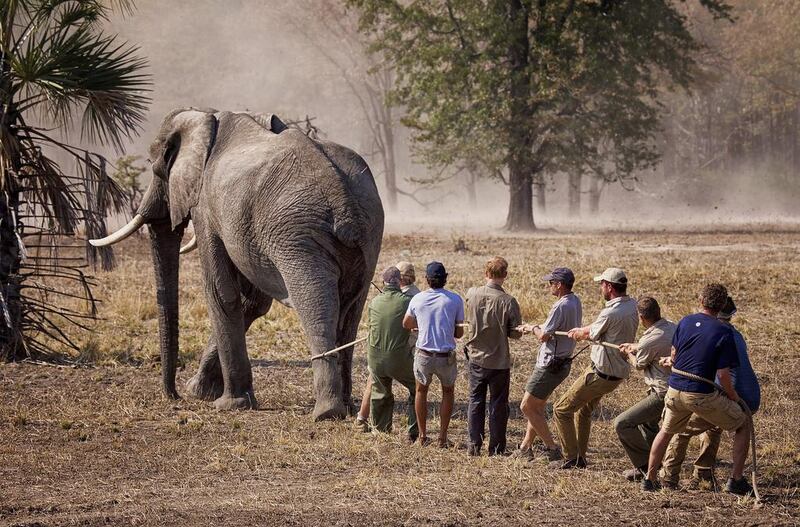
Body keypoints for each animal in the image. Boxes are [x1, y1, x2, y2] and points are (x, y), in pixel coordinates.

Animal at [90, 108, 384, 420]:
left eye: (156, 167)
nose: (173, 395)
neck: (207, 118)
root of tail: (344, 199)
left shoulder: (206, 207)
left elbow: (221, 292)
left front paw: (228, 404)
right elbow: (252, 302)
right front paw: (199, 391)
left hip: (299, 238)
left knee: (316, 304)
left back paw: (326, 412)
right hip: (368, 234)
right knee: (351, 310)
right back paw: (348, 406)